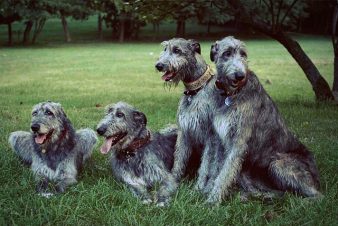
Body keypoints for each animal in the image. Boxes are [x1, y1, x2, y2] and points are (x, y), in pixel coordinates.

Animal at [206, 36, 322, 204]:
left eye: (244, 54)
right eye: (227, 53)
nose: (240, 76)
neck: (231, 94)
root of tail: (317, 176)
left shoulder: (239, 141)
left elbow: (225, 173)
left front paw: (212, 201)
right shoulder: (221, 140)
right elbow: (218, 169)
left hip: (278, 164)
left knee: (318, 196)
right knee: (278, 192)